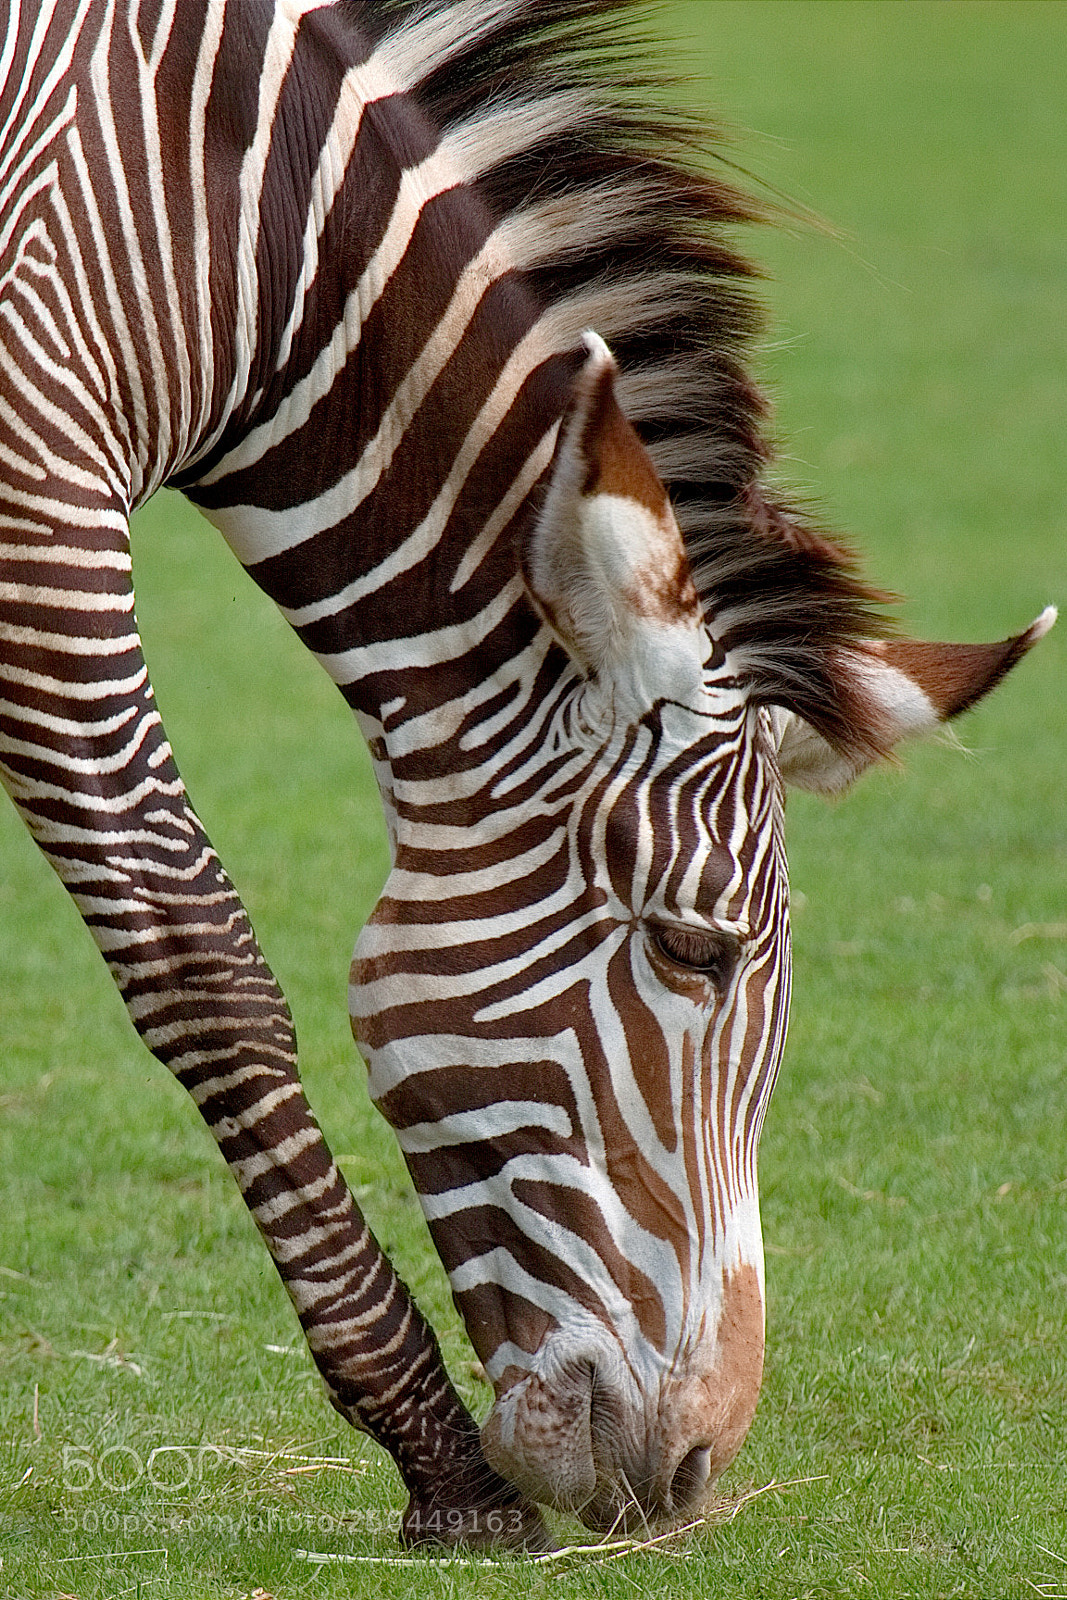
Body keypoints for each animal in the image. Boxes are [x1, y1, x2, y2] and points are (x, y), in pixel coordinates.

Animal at [0, 0, 1053, 1545]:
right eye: (690, 952)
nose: (692, 1473)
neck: (219, 236)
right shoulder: (36, 482)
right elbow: (202, 961)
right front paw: (441, 1462)